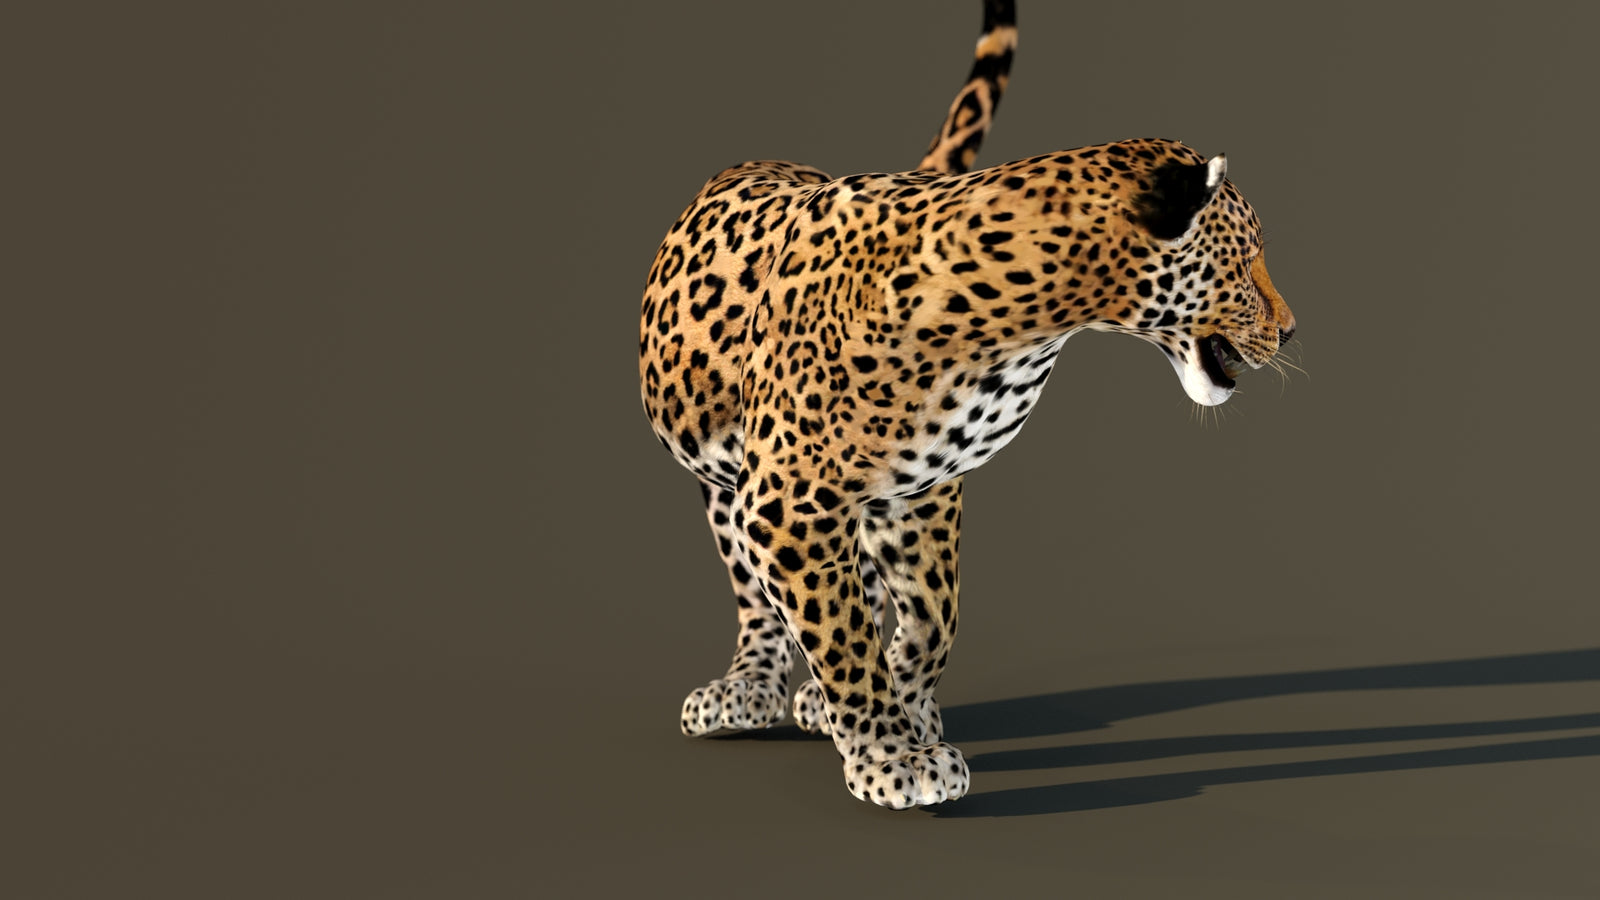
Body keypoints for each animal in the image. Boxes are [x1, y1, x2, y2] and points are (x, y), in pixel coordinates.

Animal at [637, 0, 1296, 809]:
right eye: (1247, 258)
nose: (1292, 328)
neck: (1026, 323)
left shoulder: (920, 491)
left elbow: (933, 614)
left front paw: (901, 710)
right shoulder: (787, 501)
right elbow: (843, 635)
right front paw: (891, 756)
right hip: (730, 489)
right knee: (757, 592)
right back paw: (746, 690)